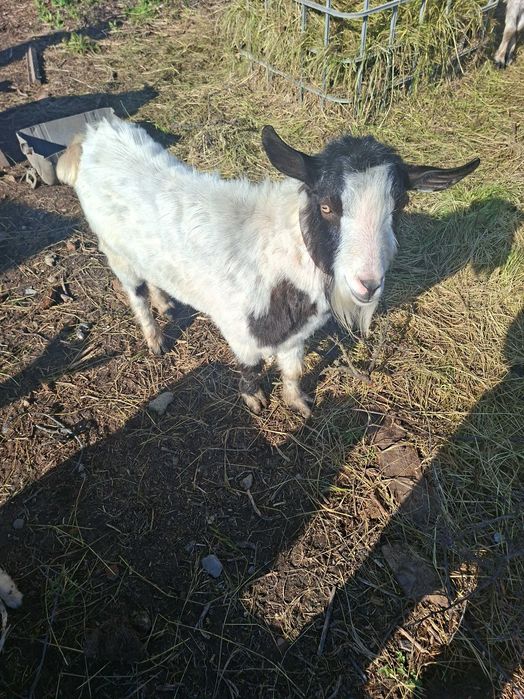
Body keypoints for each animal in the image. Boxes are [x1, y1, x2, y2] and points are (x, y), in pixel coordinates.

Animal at [56, 119, 479, 417]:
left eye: (399, 205)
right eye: (327, 206)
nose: (367, 284)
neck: (279, 253)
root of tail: (91, 136)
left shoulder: (296, 334)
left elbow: (292, 370)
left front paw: (299, 404)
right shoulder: (241, 329)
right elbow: (250, 367)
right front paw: (255, 401)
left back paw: (166, 303)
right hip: (114, 250)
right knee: (136, 293)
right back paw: (155, 337)